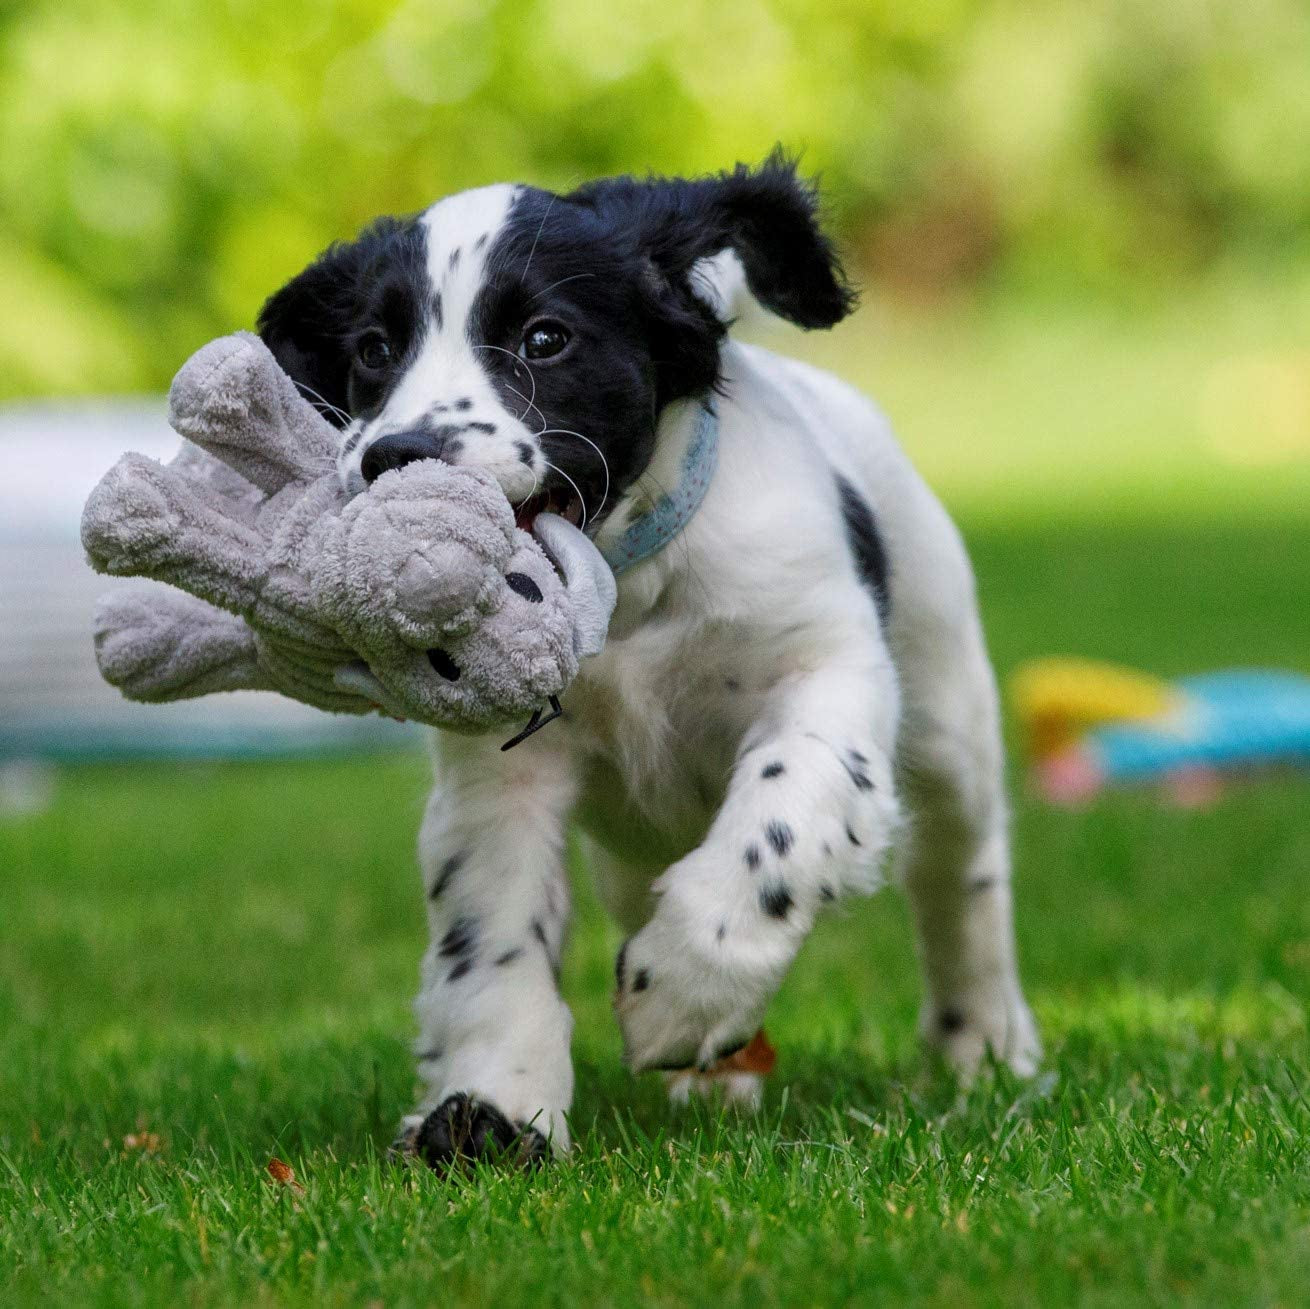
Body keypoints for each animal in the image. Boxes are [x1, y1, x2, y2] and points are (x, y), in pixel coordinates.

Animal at [255, 153, 1037, 1168]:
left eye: (546, 338)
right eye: (374, 350)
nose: (398, 454)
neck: (625, 589)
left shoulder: (826, 675)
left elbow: (777, 824)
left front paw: (679, 995)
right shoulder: (498, 779)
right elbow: (492, 936)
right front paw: (493, 1107)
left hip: (945, 715)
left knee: (959, 875)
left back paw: (983, 1043)